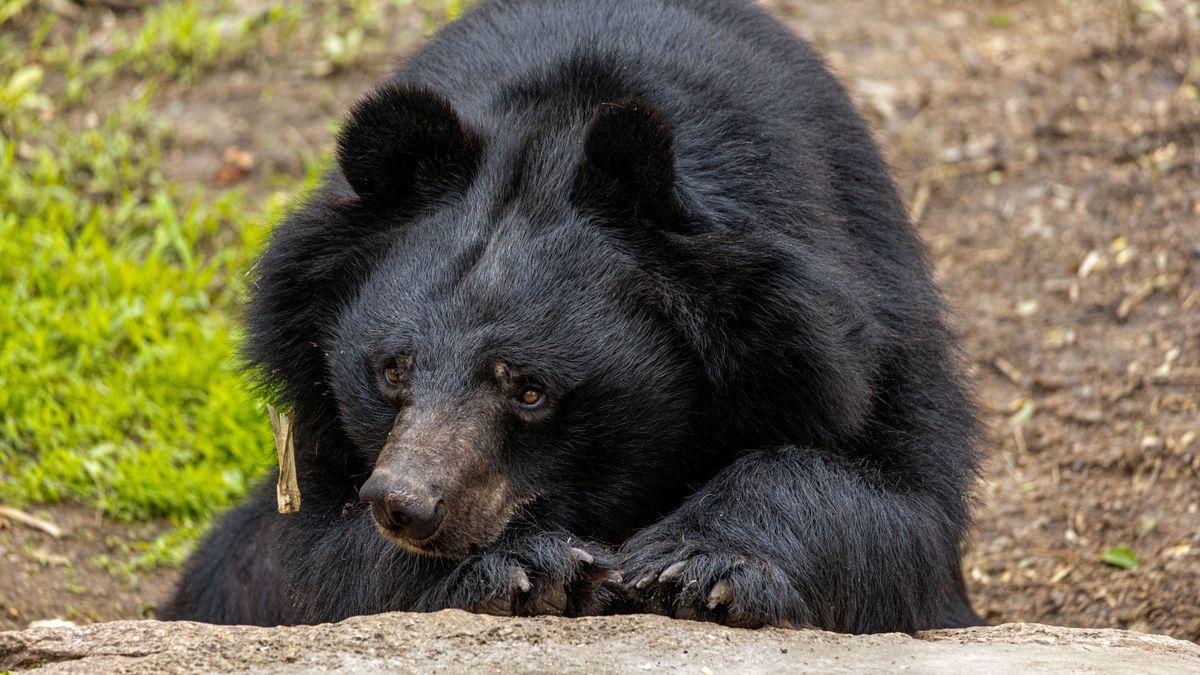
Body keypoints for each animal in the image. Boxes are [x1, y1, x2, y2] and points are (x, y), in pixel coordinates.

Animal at [161, 0, 983, 634]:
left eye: (531, 390)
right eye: (392, 370)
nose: (404, 504)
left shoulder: (856, 316)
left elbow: (898, 507)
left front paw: (693, 565)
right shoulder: (316, 427)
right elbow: (316, 559)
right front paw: (528, 565)